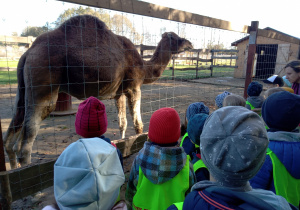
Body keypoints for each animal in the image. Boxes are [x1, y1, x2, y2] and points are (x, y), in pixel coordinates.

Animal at [3, 14, 193, 169]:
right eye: (178, 38)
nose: (190, 43)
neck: (144, 67)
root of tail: (28, 52)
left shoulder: (119, 93)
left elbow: (122, 123)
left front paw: (123, 143)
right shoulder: (133, 87)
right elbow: (138, 125)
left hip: (23, 88)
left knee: (13, 131)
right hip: (43, 83)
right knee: (27, 139)